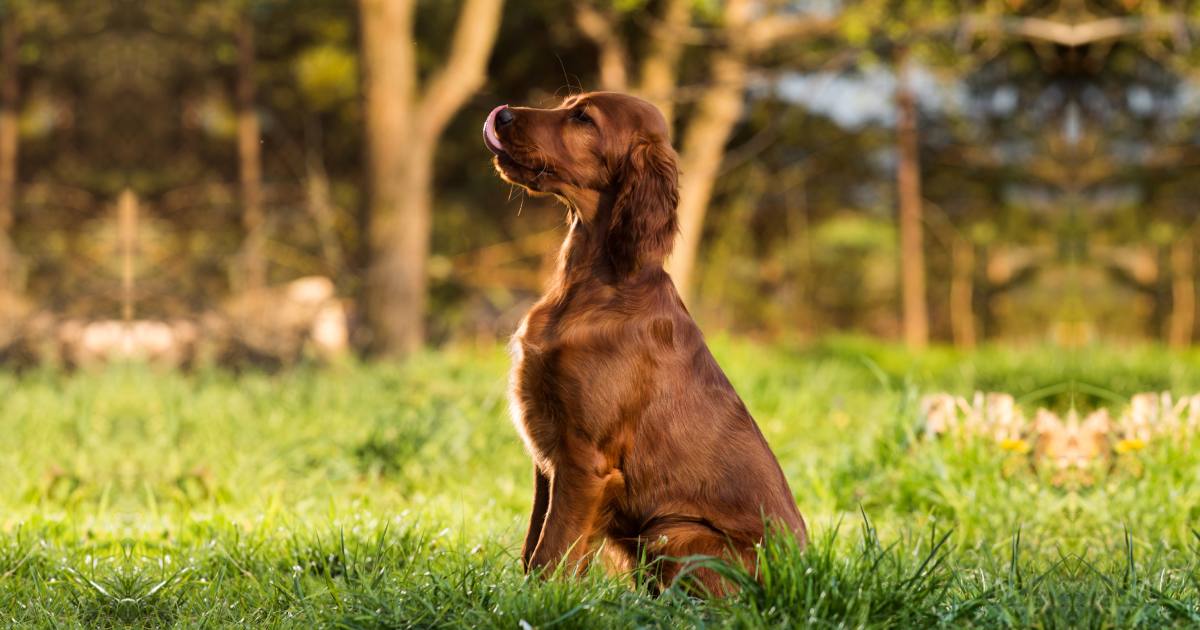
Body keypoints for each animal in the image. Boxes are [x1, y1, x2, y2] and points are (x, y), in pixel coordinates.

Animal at [480, 90, 806, 592]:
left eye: (583, 118)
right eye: (568, 103)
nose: (505, 115)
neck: (597, 284)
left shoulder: (585, 459)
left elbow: (552, 552)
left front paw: (539, 602)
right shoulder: (547, 460)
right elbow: (533, 546)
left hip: (673, 530)